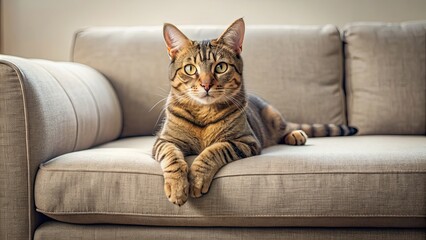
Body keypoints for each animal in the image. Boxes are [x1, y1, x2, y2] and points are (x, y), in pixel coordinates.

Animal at [151, 18, 358, 206]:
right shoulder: (164, 140)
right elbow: (172, 157)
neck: (204, 113)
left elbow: (215, 150)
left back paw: (295, 134)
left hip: (272, 115)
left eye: (220, 67)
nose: (206, 85)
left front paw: (197, 177)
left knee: (284, 129)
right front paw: (178, 187)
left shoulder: (246, 141)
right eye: (190, 69)